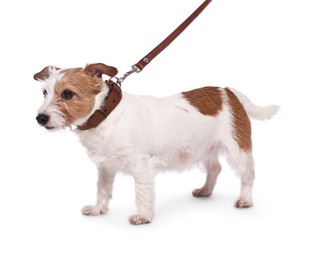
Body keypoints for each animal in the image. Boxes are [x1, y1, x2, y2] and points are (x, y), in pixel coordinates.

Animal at [34, 62, 278, 223]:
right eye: (44, 92)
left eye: (67, 94)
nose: (40, 118)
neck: (106, 114)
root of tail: (227, 91)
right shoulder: (106, 167)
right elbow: (103, 189)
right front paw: (98, 209)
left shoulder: (141, 166)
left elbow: (142, 193)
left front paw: (143, 216)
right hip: (204, 148)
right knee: (215, 168)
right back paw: (205, 190)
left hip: (238, 149)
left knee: (247, 176)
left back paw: (245, 200)